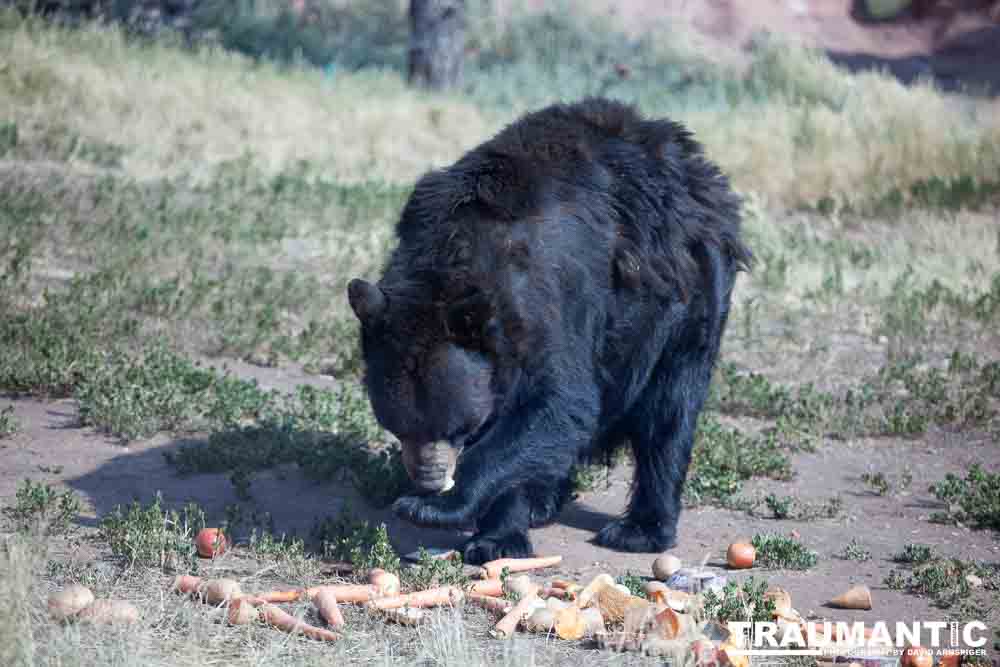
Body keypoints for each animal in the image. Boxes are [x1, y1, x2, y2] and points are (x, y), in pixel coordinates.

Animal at [350, 98, 752, 564]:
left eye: (455, 428)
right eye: (398, 425)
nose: (430, 480)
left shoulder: (550, 300)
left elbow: (557, 403)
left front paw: (448, 512)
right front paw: (500, 530)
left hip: (689, 301)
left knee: (670, 411)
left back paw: (639, 529)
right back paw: (547, 500)